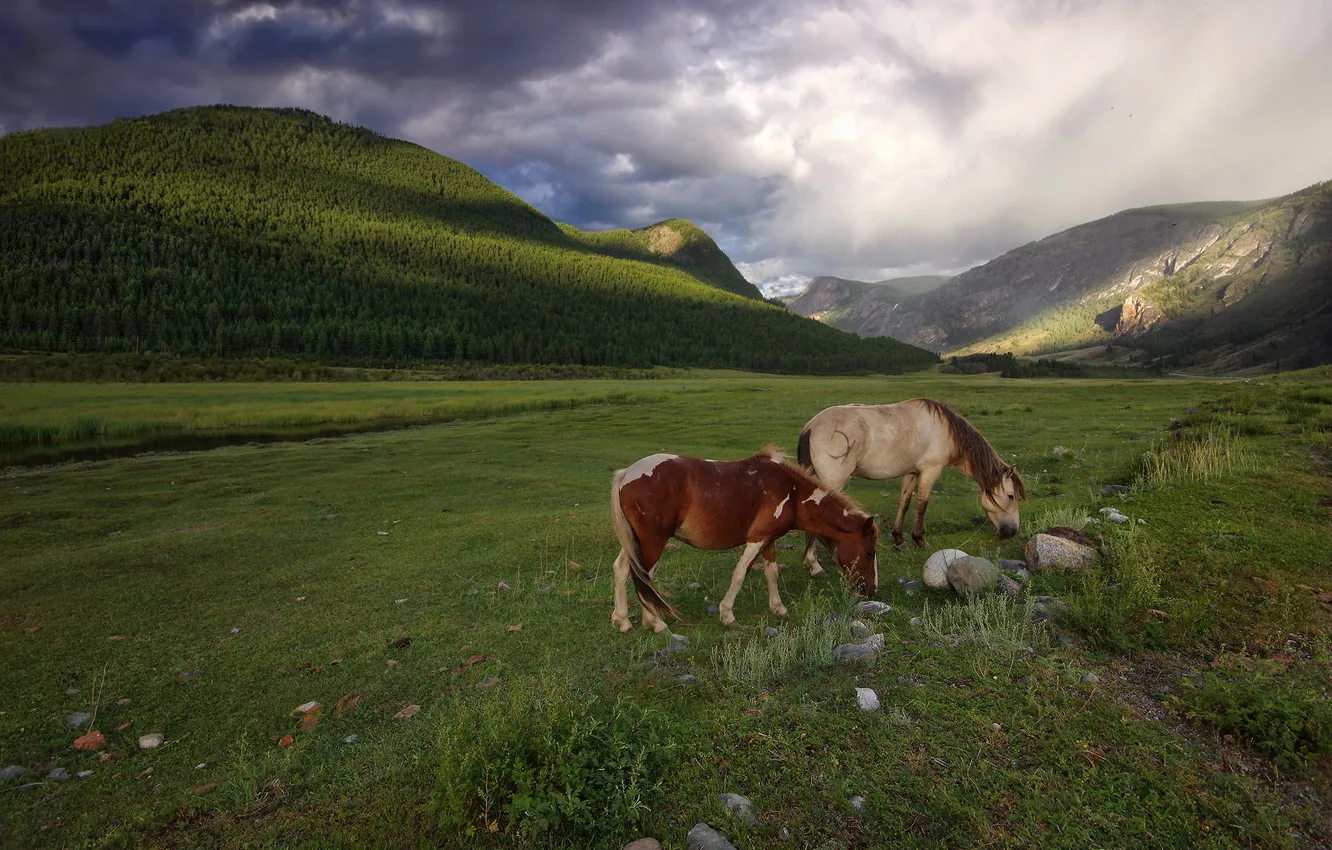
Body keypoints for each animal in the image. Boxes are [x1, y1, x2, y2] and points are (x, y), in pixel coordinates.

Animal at [609, 447, 879, 632]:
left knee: (623, 569)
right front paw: (727, 614)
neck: (792, 492)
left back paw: (624, 621)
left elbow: (772, 573)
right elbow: (740, 573)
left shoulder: (769, 540)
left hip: (637, 542)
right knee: (643, 576)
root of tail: (626, 474)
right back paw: (656, 623)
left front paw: (778, 607)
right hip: (653, 541)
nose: (871, 590)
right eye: (869, 552)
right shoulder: (757, 539)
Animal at [797, 399, 1025, 573]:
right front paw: (919, 540)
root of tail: (811, 426)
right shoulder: (930, 470)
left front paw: (899, 541)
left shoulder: (911, 473)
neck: (946, 430)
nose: (1013, 531)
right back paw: (814, 564)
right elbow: (922, 504)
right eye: (1011, 496)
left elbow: (904, 503)